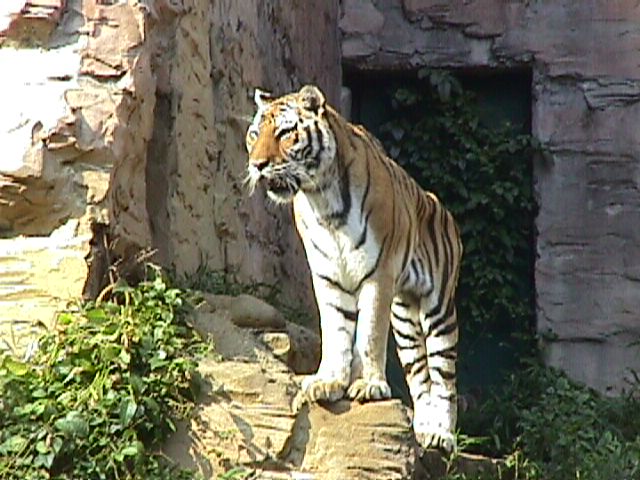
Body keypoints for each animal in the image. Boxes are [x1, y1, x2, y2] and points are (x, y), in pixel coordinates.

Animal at [244, 85, 460, 450]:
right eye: (254, 134)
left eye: (285, 133)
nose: (257, 165)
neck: (322, 202)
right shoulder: (327, 276)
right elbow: (335, 331)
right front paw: (327, 382)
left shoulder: (380, 274)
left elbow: (369, 333)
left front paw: (370, 386)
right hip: (405, 318)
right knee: (421, 378)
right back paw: (423, 430)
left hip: (439, 310)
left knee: (444, 378)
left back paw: (441, 434)